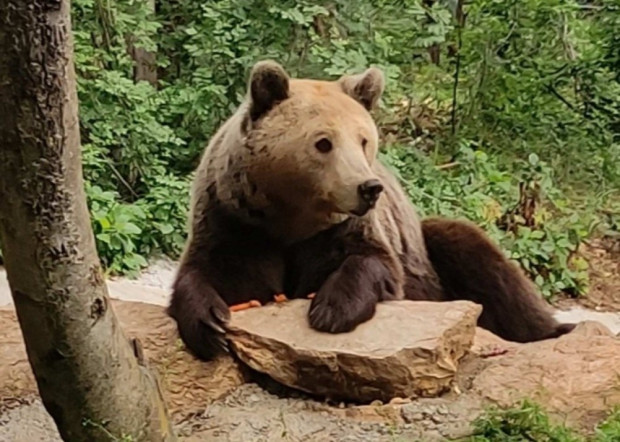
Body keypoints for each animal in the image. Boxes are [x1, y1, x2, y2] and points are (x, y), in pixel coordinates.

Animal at [166, 60, 576, 360]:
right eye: (323, 142)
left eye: (364, 139)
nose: (369, 187)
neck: (292, 218)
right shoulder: (235, 219)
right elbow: (214, 271)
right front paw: (210, 323)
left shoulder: (345, 229)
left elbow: (372, 262)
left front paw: (330, 308)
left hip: (428, 249)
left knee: (476, 256)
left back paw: (557, 329)